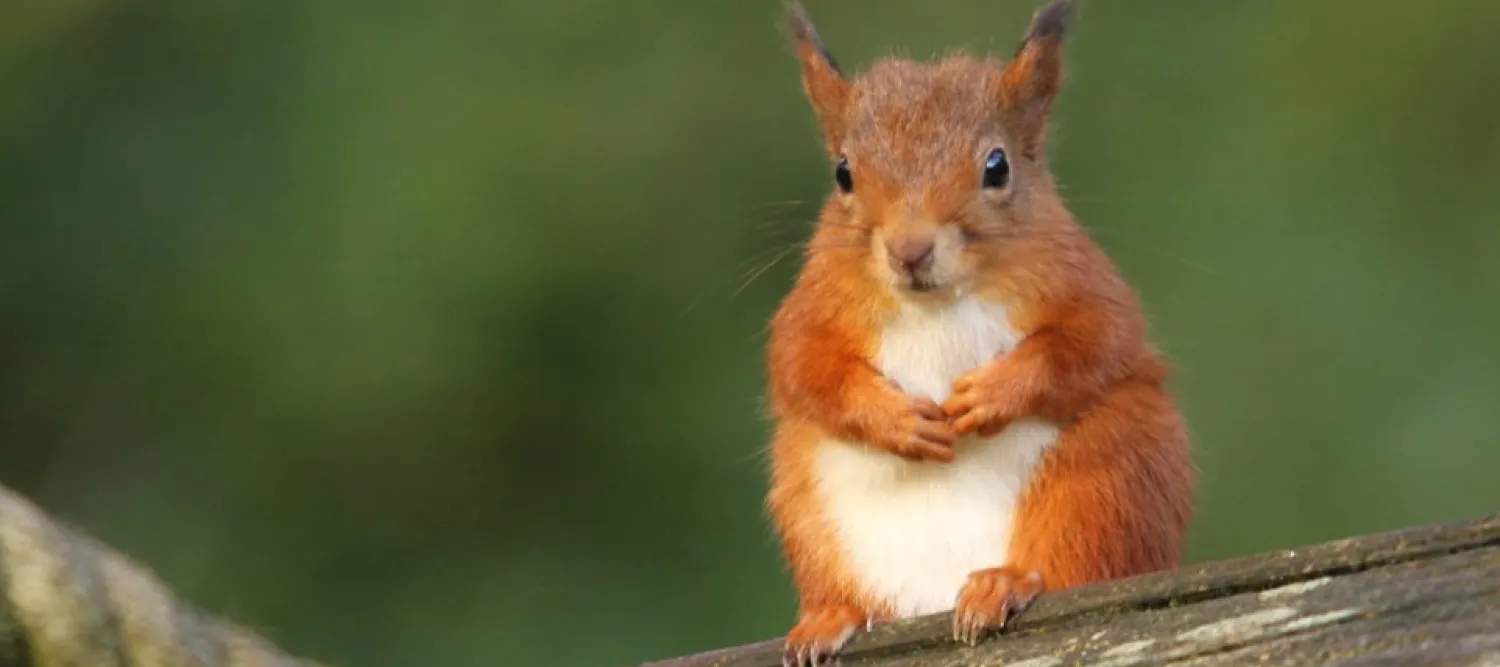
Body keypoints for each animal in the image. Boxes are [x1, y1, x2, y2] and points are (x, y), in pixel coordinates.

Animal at [763, 1, 1196, 664]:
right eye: (843, 173)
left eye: (998, 167)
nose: (910, 250)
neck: (938, 302)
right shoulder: (810, 310)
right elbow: (804, 370)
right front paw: (899, 420)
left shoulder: (1090, 286)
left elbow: (1093, 344)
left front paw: (992, 395)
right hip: (809, 509)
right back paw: (830, 618)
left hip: (1108, 477)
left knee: (1070, 561)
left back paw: (1005, 583)